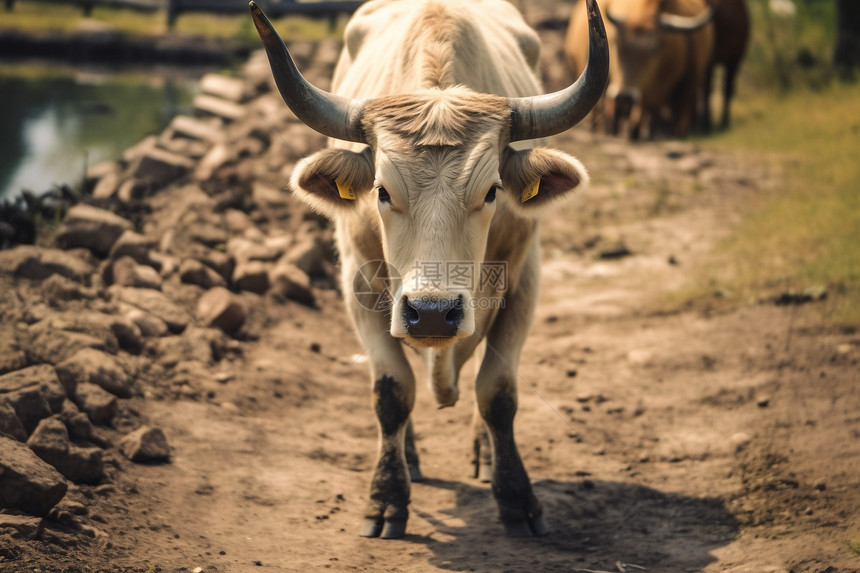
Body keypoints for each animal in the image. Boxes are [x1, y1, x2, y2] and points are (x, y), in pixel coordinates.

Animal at [252, 0, 608, 540]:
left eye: (492, 190)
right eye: (380, 190)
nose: (435, 312)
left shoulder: (526, 279)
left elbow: (498, 393)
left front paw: (516, 498)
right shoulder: (358, 283)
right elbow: (391, 391)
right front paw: (386, 498)